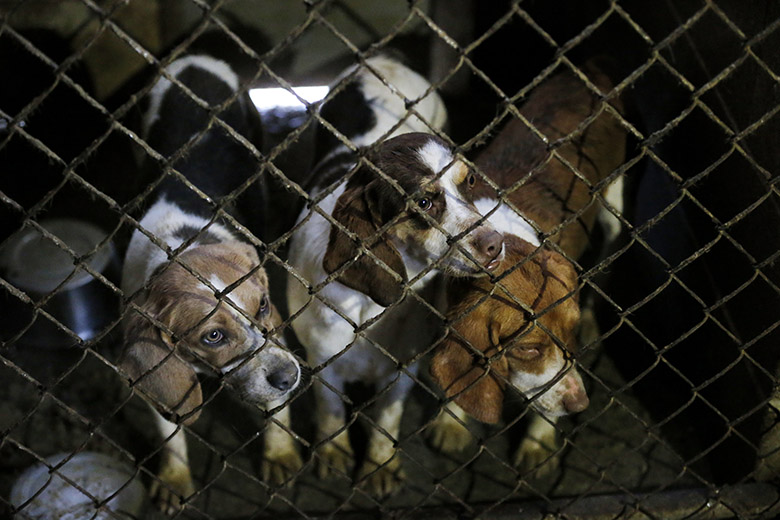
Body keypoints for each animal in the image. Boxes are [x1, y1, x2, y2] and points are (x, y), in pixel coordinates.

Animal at [119, 51, 302, 512]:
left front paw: (279, 453)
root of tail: (195, 57)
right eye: (213, 336)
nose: (289, 377)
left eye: (263, 306)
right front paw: (174, 479)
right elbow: (170, 432)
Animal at [286, 54, 506, 498]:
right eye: (423, 202)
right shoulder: (321, 363)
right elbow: (330, 411)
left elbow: (387, 419)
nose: (496, 245)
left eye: (470, 181)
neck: (370, 309)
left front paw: (379, 466)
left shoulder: (404, 367)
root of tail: (381, 60)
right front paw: (333, 455)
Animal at [426, 63, 628, 474]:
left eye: (571, 332)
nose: (580, 405)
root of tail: (591, 68)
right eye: (529, 350)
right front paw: (451, 420)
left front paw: (539, 439)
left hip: (615, 202)